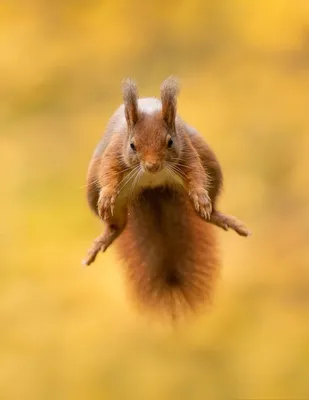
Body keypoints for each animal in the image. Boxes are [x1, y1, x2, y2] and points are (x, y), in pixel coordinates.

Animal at [82, 76, 250, 318]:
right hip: (92, 191)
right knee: (117, 225)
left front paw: (201, 197)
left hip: (211, 165)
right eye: (132, 145)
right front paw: (106, 196)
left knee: (208, 209)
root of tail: (153, 188)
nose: (152, 166)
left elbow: (197, 174)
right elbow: (108, 173)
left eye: (169, 142)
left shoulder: (187, 150)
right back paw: (106, 237)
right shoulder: (114, 152)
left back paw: (216, 215)